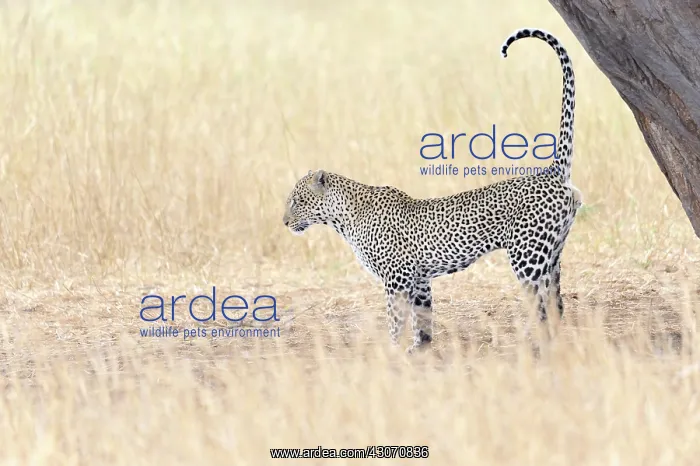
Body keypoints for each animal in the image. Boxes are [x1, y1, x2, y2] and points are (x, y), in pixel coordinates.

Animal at [282, 28, 582, 353]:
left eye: (296, 201)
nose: (284, 222)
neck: (343, 218)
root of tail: (552, 172)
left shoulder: (397, 280)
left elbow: (395, 320)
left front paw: (393, 351)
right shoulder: (419, 280)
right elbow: (422, 320)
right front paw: (418, 350)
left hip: (527, 257)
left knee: (539, 303)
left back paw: (535, 344)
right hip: (553, 255)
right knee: (556, 302)